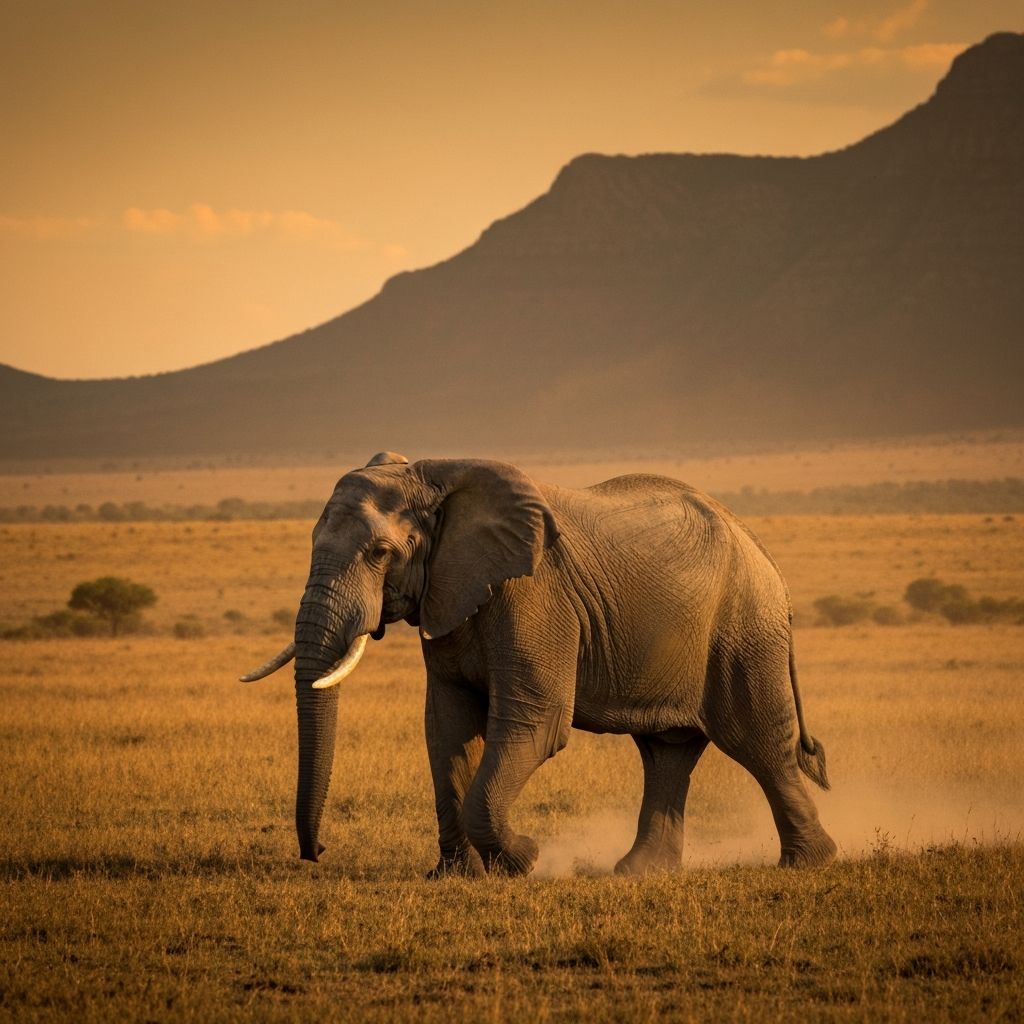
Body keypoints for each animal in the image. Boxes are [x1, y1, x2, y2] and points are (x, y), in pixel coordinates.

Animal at [241, 451, 837, 876]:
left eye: (380, 554)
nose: (318, 851)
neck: (436, 475)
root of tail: (760, 547)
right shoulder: (449, 593)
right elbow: (447, 727)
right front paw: (455, 877)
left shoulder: (533, 596)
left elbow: (536, 722)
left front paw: (526, 859)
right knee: (667, 752)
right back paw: (639, 872)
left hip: (744, 628)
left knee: (759, 744)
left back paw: (809, 862)